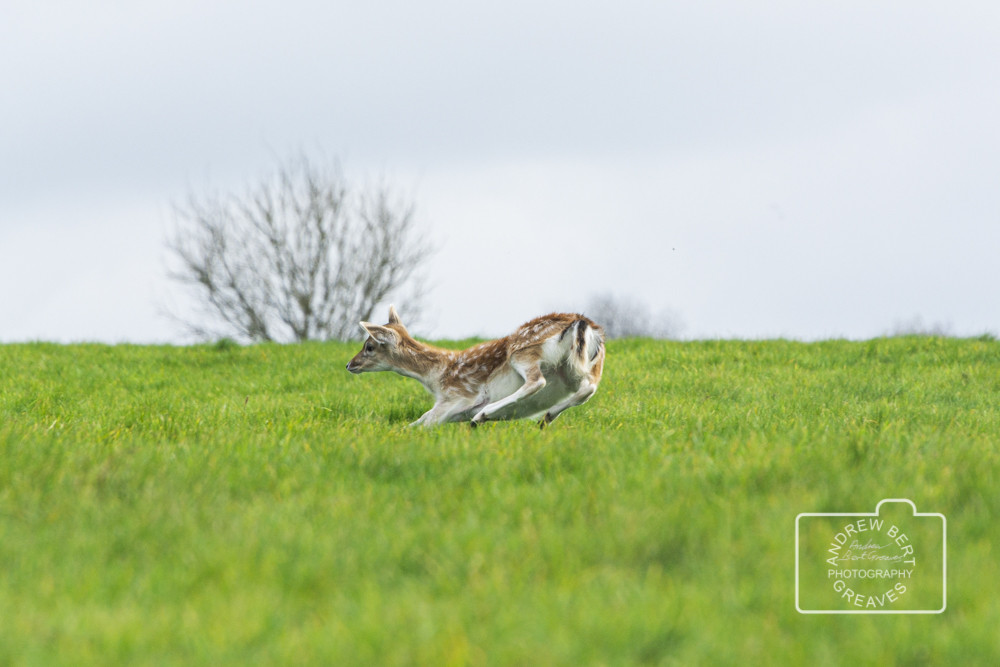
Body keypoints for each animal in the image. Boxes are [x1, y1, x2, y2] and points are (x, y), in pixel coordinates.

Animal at [347, 306, 605, 428]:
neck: (436, 375)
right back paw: (546, 417)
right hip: (582, 366)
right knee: (588, 388)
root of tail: (582, 324)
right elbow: (418, 422)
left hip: (523, 351)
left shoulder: (455, 397)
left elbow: (423, 423)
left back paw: (483, 415)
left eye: (369, 346)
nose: (349, 364)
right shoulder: (450, 411)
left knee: (536, 381)